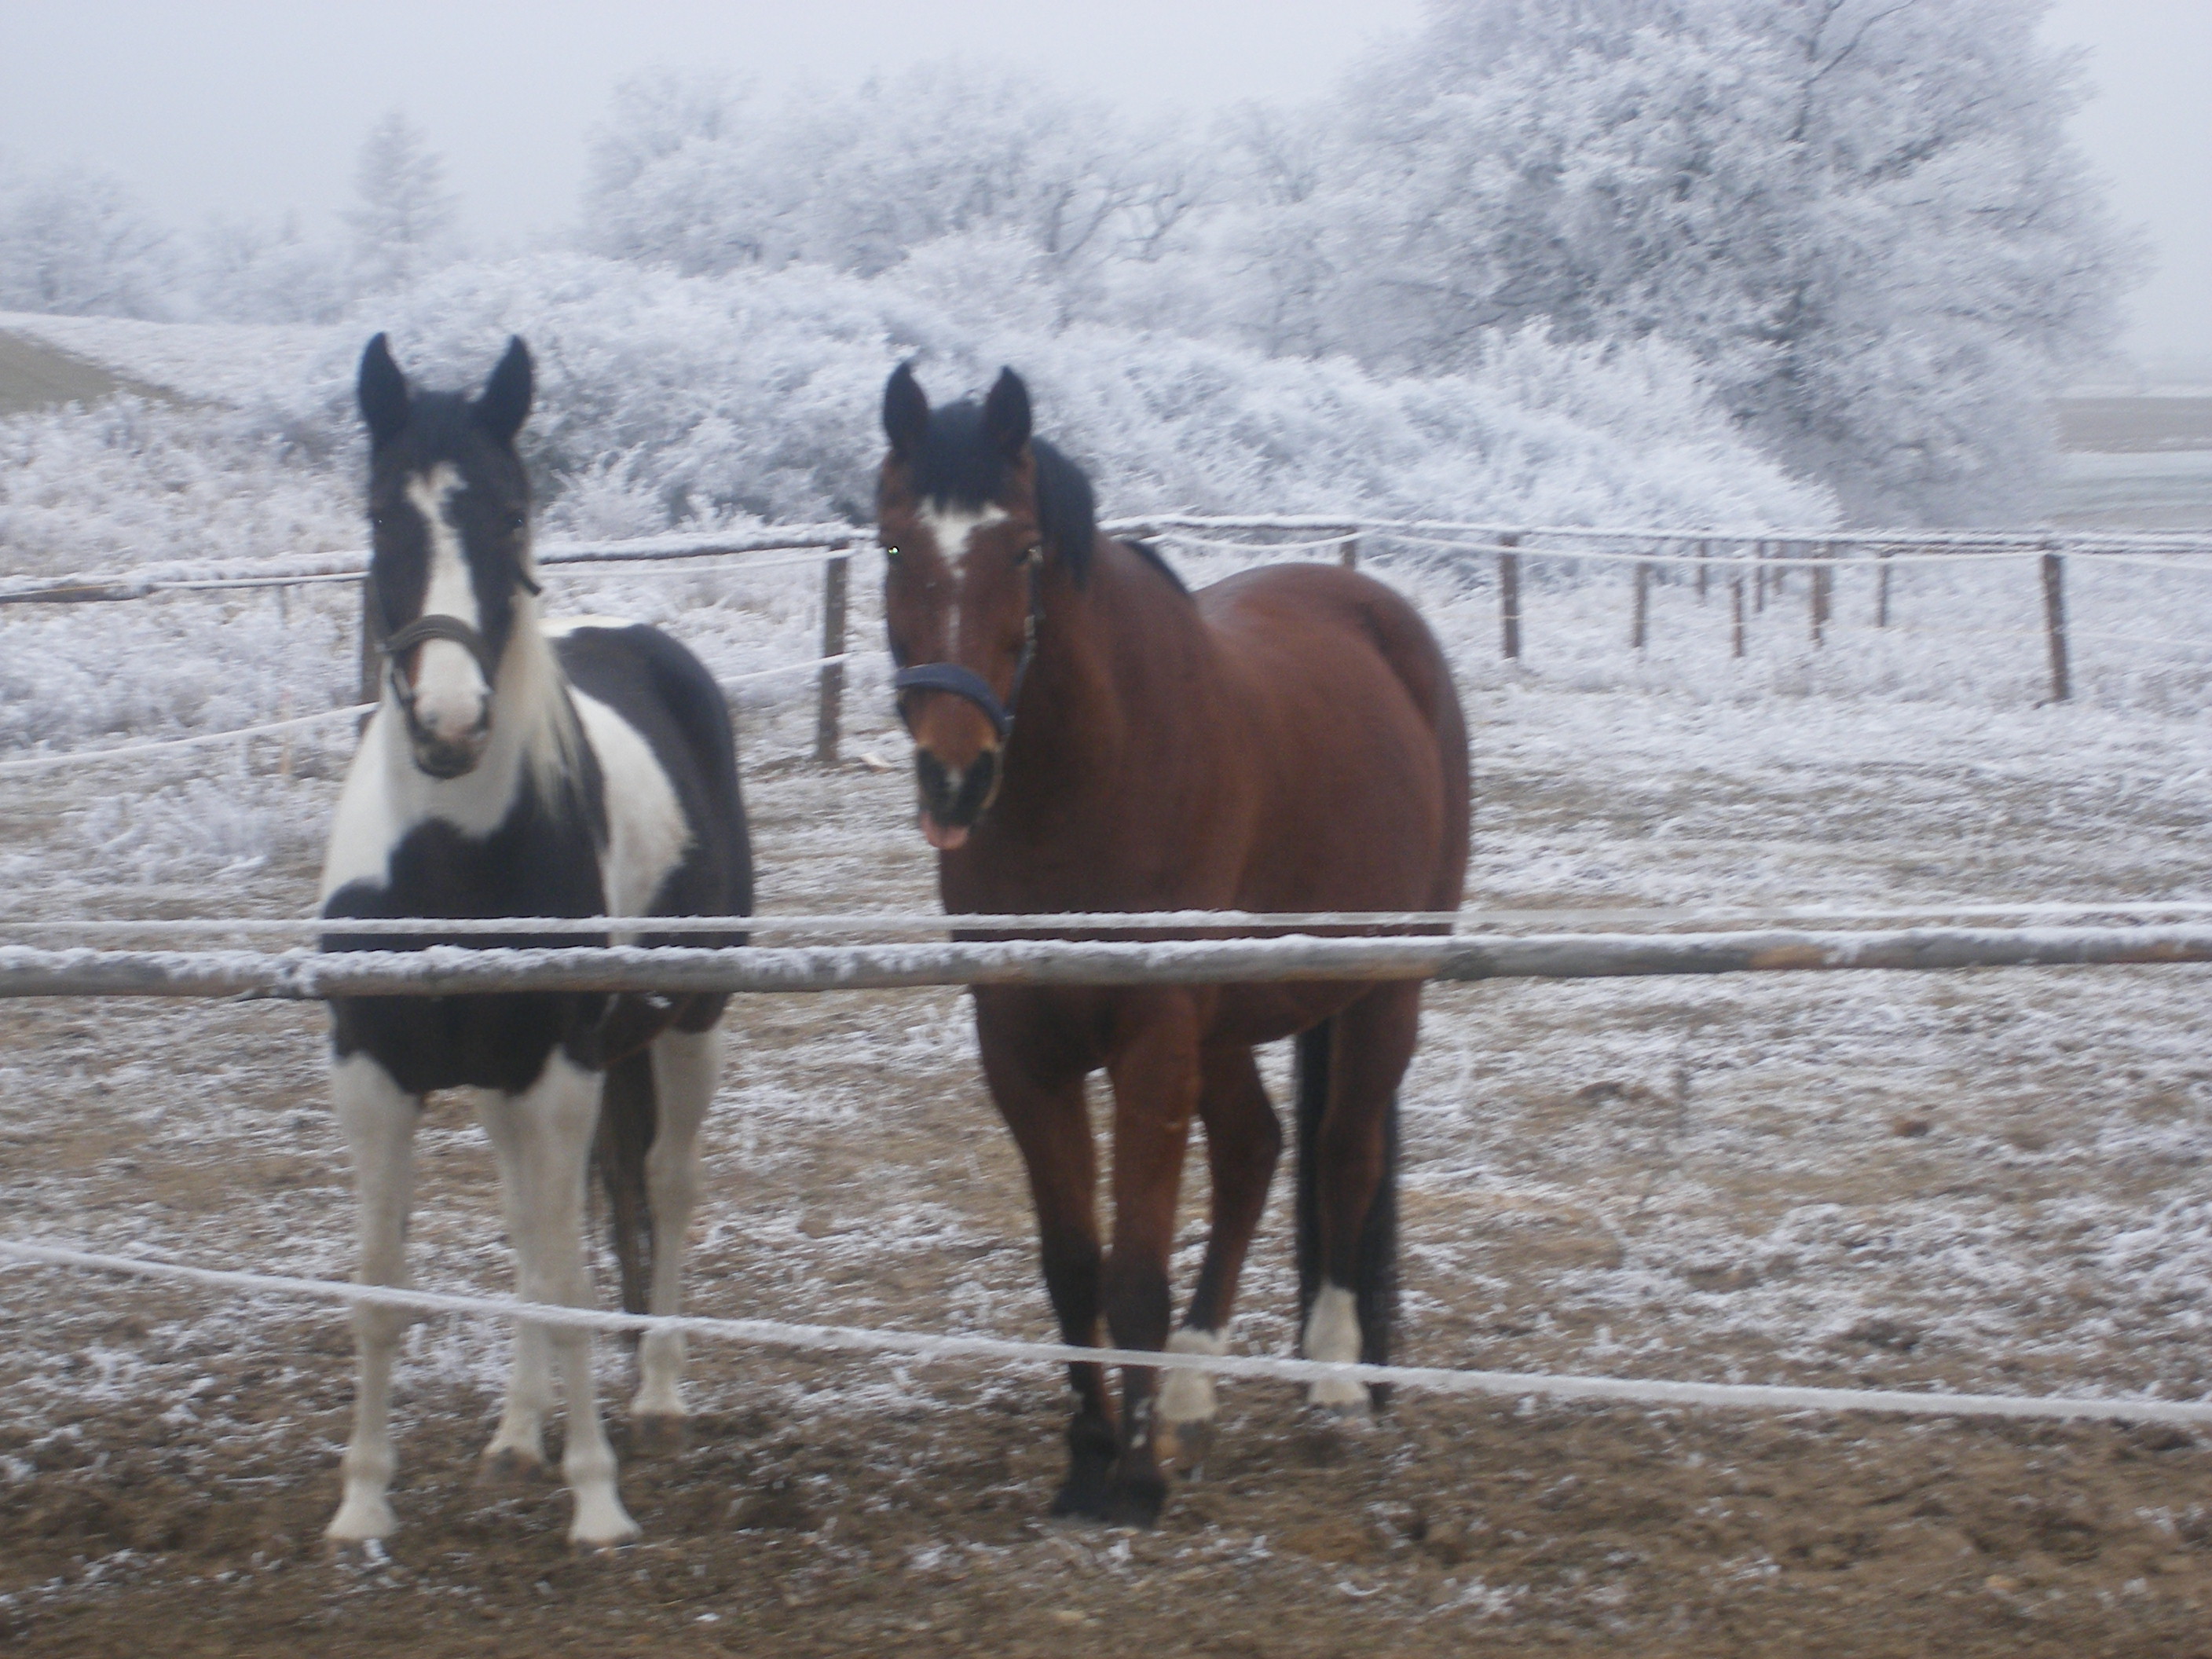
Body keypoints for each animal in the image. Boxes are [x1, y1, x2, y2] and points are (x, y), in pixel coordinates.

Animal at [316, 338, 756, 1557]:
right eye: (382, 511)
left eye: (510, 515)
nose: (451, 725)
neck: (445, 873)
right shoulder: (374, 1075)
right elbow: (382, 1287)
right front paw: (362, 1501)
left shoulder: (562, 1073)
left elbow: (569, 1281)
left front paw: (597, 1499)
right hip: (504, 1083)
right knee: (528, 1228)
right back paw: (517, 1434)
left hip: (684, 1028)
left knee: (665, 1189)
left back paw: (655, 1399)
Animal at [876, 367, 1468, 1530]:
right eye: (888, 544)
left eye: (1021, 551)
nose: (955, 776)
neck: (1087, 781)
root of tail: (1388, 622)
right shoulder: (1021, 1048)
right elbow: (1072, 1265)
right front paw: (1090, 1458)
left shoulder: (1151, 1037)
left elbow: (1134, 1266)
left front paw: (1134, 1485)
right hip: (1231, 1022)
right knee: (1254, 1152)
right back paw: (1191, 1396)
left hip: (1380, 990)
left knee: (1344, 1155)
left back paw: (1335, 1385)